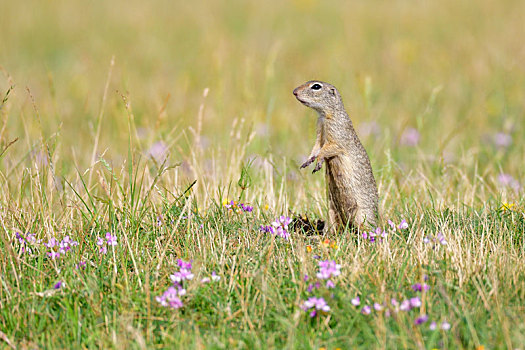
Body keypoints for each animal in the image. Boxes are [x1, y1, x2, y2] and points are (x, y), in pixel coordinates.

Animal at [294, 80, 376, 231]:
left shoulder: (337, 134)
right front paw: (308, 160)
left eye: (316, 86)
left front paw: (319, 160)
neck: (325, 116)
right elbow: (316, 147)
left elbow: (328, 148)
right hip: (331, 211)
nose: (294, 92)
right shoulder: (319, 132)